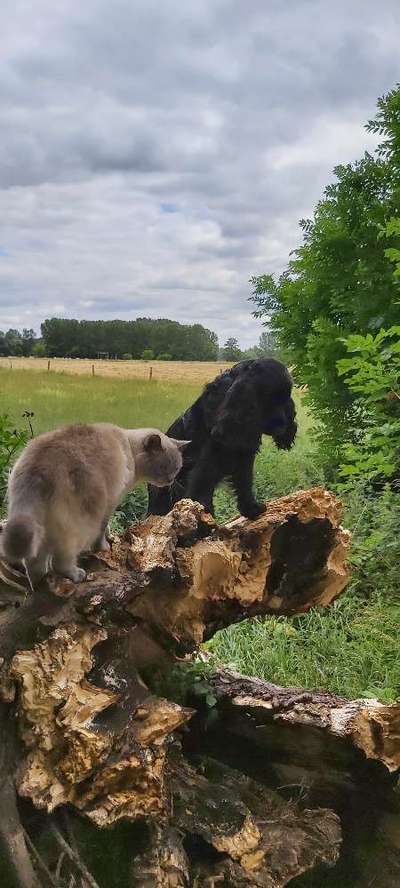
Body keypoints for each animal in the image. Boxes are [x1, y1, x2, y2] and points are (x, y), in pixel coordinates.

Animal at [0, 424, 188, 588]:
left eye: (177, 468)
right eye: (165, 467)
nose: (170, 480)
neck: (129, 448)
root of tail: (38, 468)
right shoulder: (111, 503)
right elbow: (103, 530)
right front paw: (105, 547)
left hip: (42, 526)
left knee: (34, 561)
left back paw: (37, 584)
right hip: (79, 524)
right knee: (59, 560)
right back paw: (77, 575)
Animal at [147, 356, 296, 516]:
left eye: (286, 399)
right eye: (269, 398)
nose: (283, 426)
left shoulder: (244, 452)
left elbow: (245, 481)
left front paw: (250, 508)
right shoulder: (212, 452)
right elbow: (202, 482)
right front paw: (203, 510)